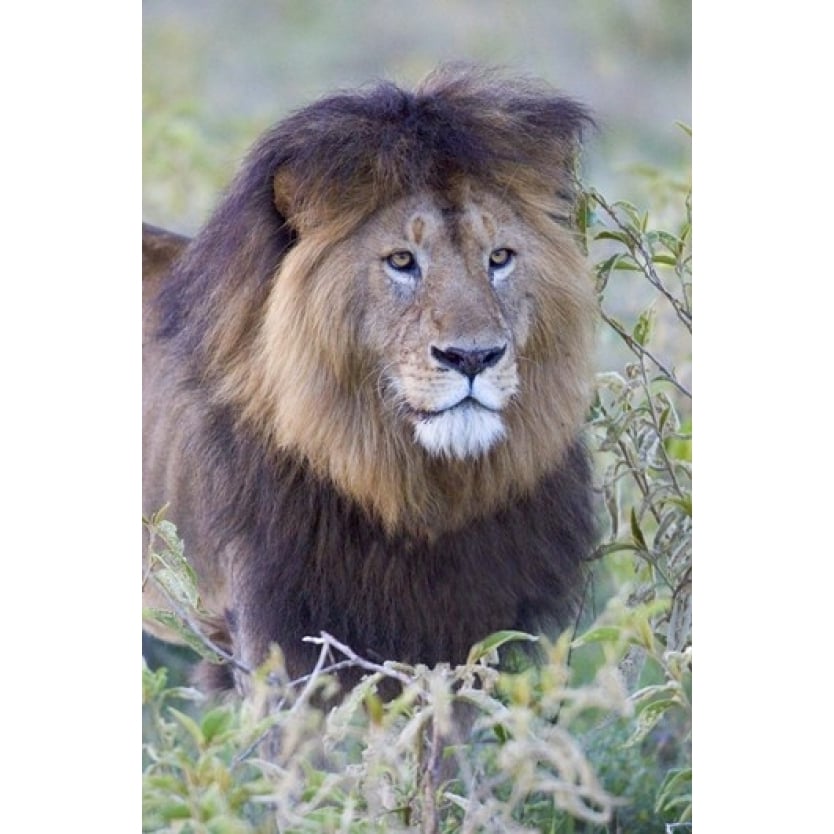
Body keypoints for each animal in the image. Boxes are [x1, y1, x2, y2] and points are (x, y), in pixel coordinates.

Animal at [145, 65, 600, 692]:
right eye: (402, 261)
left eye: (500, 257)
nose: (473, 357)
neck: (409, 489)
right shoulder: (267, 634)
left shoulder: (465, 629)